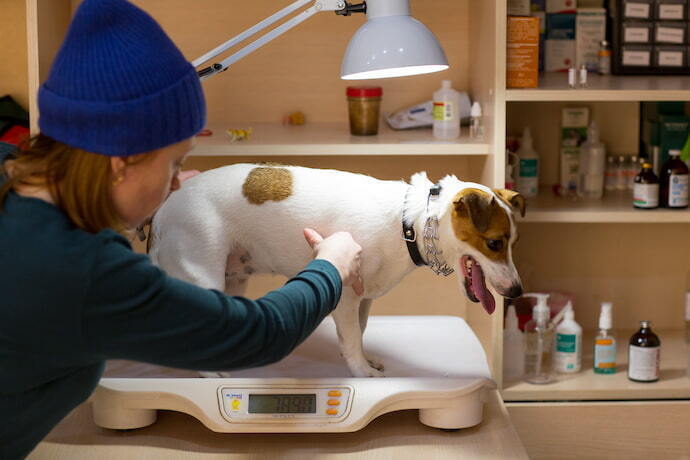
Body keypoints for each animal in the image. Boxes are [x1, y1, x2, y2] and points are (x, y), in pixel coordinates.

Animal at [148, 164, 524, 378]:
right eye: (494, 243)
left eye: (513, 243)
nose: (518, 292)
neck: (408, 222)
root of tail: (161, 212)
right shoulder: (345, 295)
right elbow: (352, 337)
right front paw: (360, 371)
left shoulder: (364, 298)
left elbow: (359, 331)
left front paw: (364, 359)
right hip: (202, 274)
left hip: (234, 280)